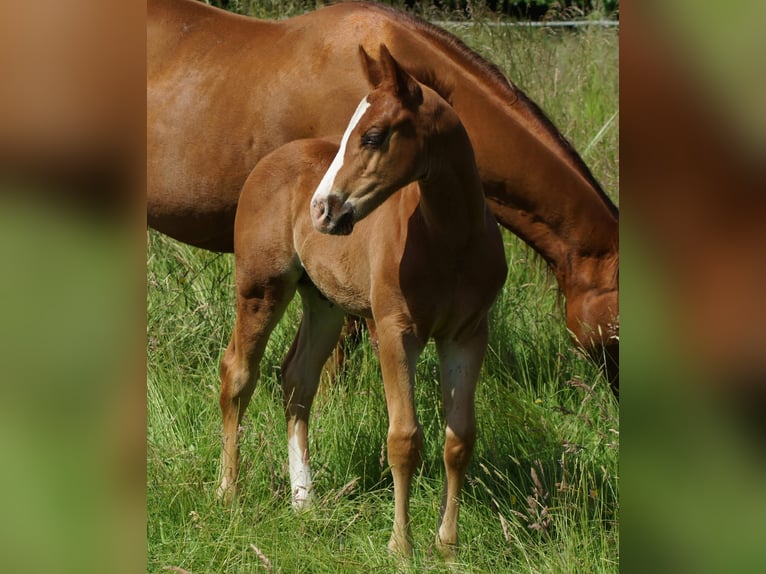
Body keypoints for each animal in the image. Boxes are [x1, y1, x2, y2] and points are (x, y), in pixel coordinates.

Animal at [221, 45, 507, 557]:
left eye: (373, 136)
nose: (321, 209)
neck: (451, 240)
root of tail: (272, 158)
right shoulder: (395, 331)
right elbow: (403, 438)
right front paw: (400, 546)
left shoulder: (468, 335)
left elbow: (459, 440)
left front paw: (447, 546)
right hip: (260, 287)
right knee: (238, 372)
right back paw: (227, 493)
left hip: (324, 303)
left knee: (297, 379)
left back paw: (304, 499)